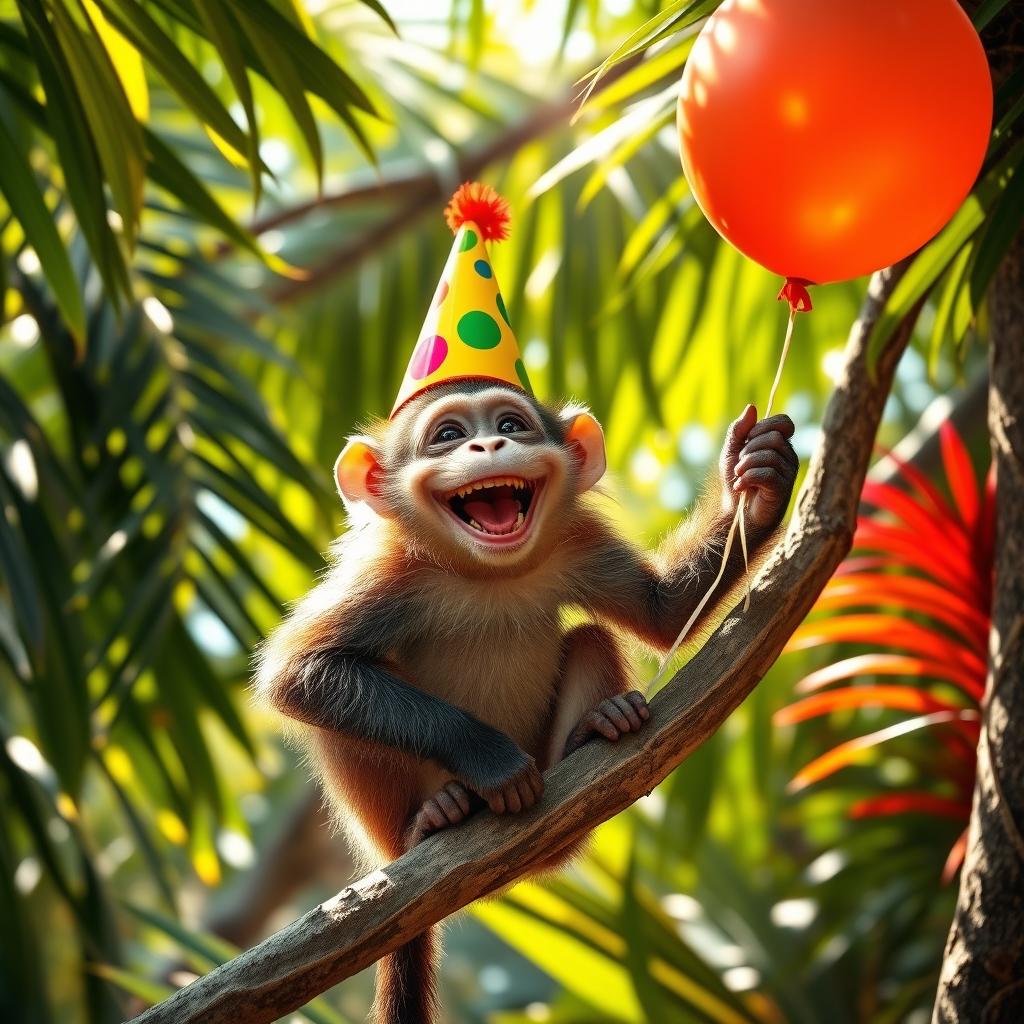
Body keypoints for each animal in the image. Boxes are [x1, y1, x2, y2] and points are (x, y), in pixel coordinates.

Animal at [256, 382, 798, 1024]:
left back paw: (595, 729)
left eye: (511, 425)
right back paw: (433, 816)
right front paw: (492, 760)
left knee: (589, 636)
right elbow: (297, 673)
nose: (489, 444)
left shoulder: (576, 542)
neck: (489, 575)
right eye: (447, 435)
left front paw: (760, 476)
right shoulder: (388, 570)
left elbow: (663, 611)